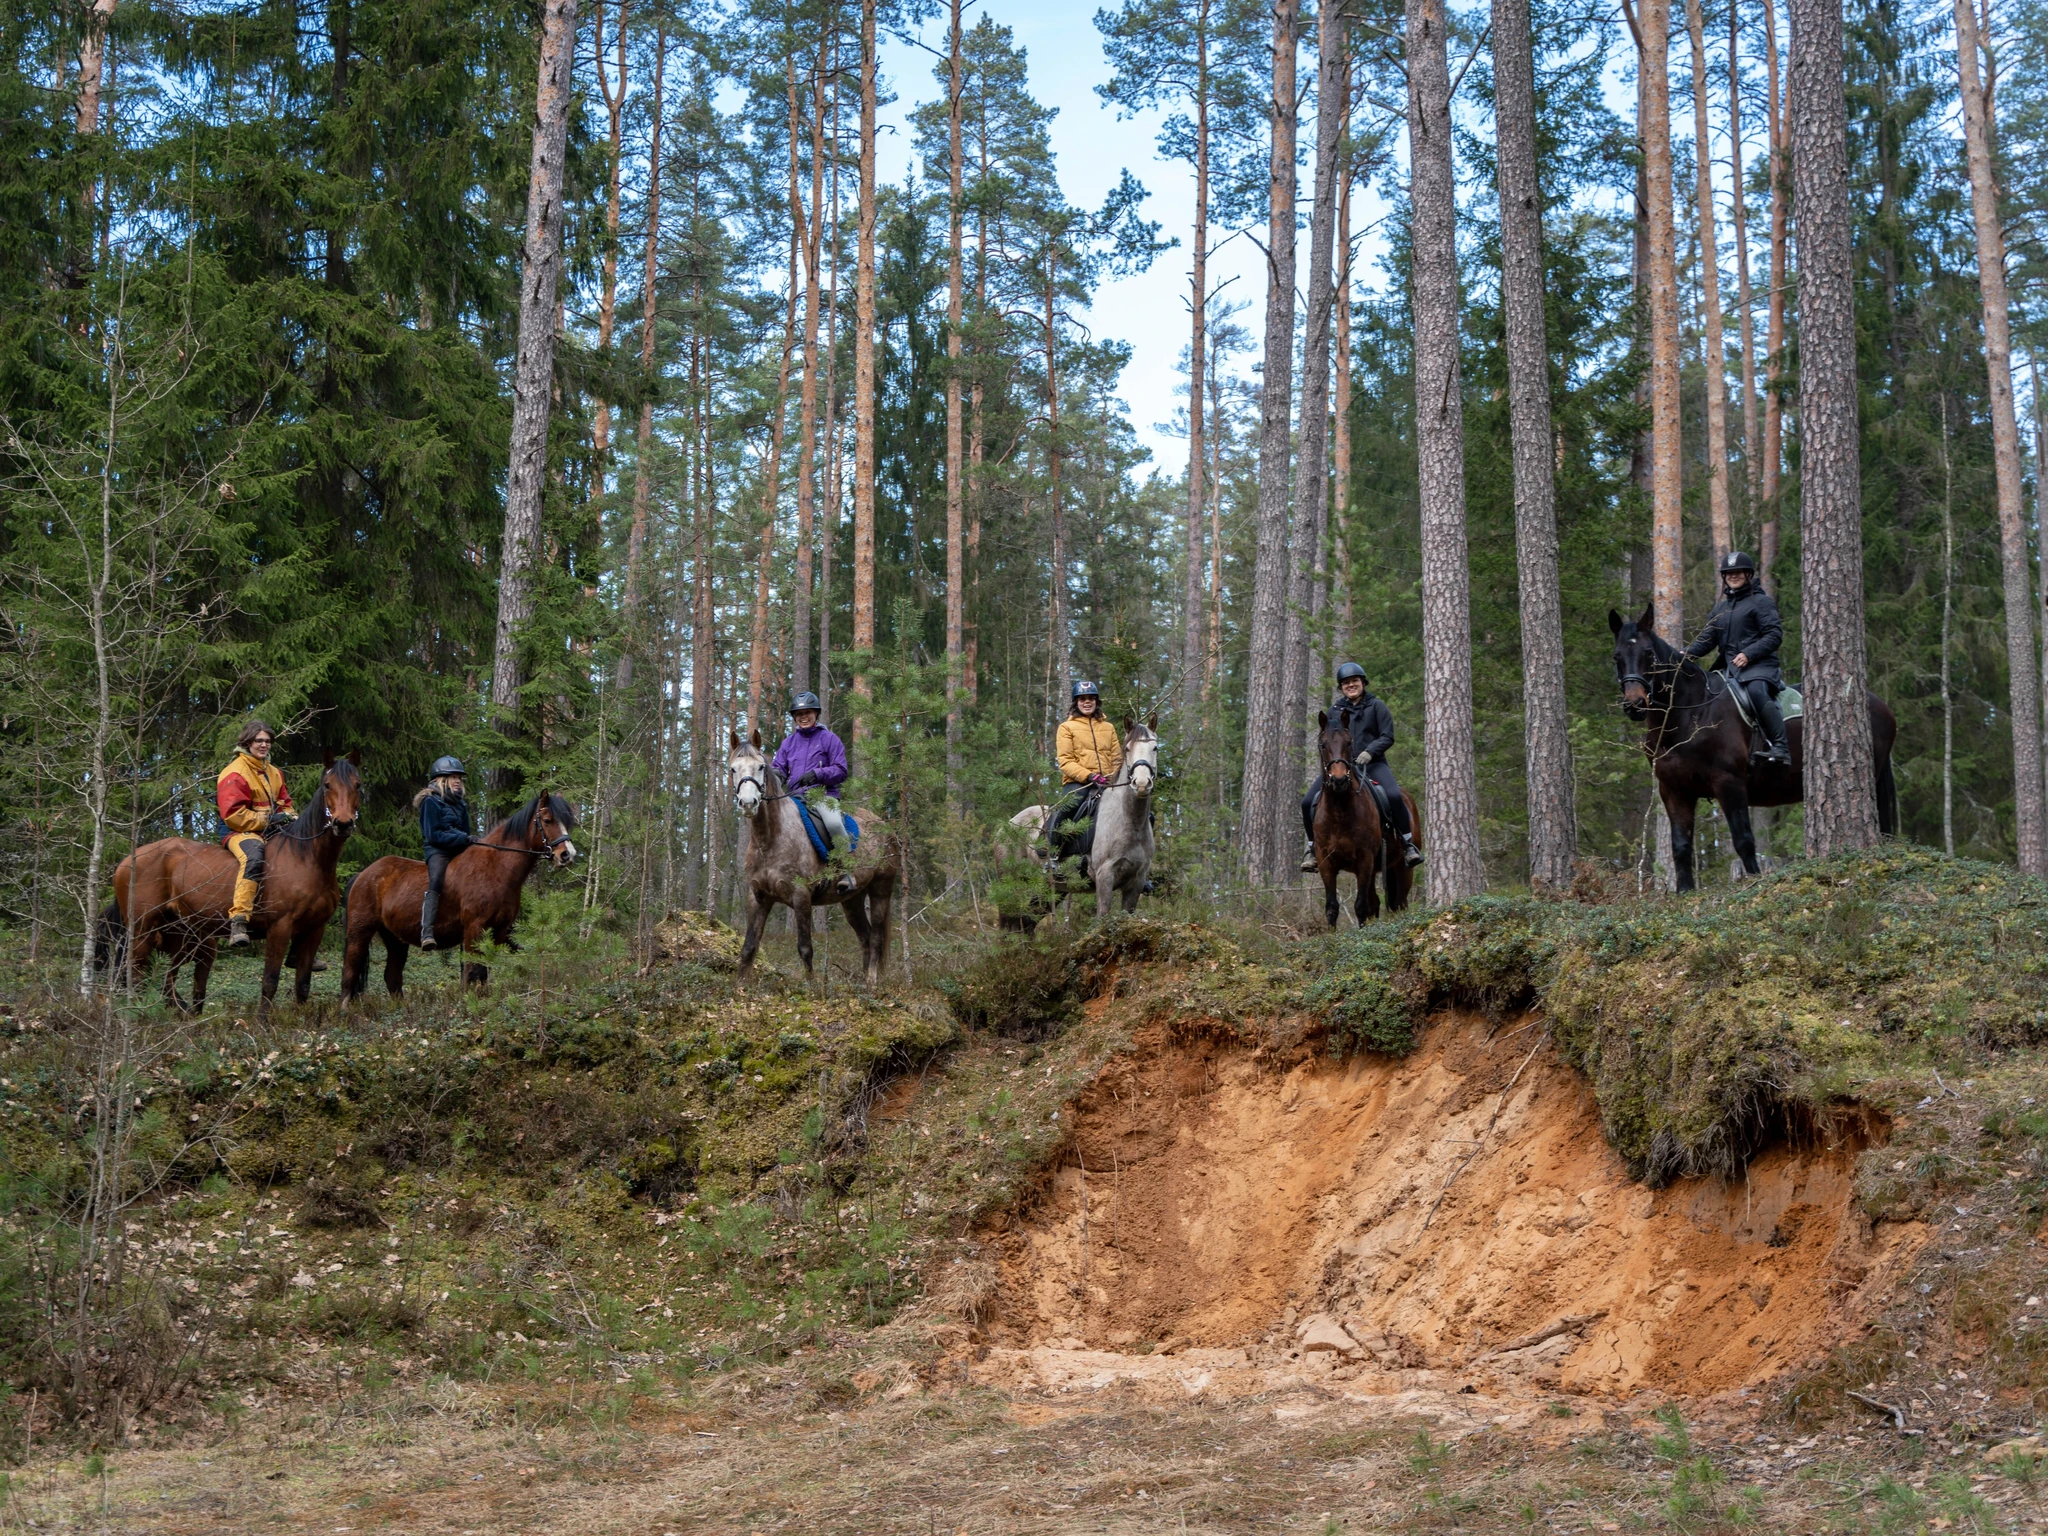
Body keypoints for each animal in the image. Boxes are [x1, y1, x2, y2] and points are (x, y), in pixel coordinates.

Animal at [95, 753, 364, 1015]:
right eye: (327, 785)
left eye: (357, 785)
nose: (342, 823)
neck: (307, 858)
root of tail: (127, 861)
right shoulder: (280, 928)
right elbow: (270, 981)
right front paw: (263, 1024)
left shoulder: (314, 929)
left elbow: (303, 985)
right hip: (142, 932)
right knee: (137, 977)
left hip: (180, 936)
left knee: (166, 981)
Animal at [340, 791, 579, 998]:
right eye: (547, 820)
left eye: (567, 822)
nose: (568, 855)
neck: (495, 869)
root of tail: (362, 875)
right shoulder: (474, 928)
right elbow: (471, 972)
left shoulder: (498, 931)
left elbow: (484, 970)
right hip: (360, 932)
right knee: (350, 973)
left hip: (395, 939)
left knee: (392, 977)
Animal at [726, 731, 901, 982]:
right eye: (733, 769)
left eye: (760, 767)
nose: (748, 803)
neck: (770, 839)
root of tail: (886, 827)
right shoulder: (758, 896)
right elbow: (749, 947)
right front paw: (740, 987)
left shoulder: (801, 896)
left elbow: (805, 948)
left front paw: (811, 988)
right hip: (852, 900)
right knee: (865, 937)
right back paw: (862, 986)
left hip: (881, 889)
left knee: (876, 937)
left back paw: (871, 983)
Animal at [1017, 719, 1160, 920]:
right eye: (1127, 748)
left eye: (1155, 748)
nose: (1141, 784)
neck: (1131, 823)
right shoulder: (1104, 876)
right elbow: (1102, 917)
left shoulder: (1137, 881)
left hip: (1053, 889)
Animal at [1610, 603, 1899, 892]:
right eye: (1616, 656)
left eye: (1648, 653)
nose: (1635, 704)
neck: (1691, 714)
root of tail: (1879, 704)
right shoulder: (1674, 790)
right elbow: (1680, 846)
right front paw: (1684, 893)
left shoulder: (1729, 783)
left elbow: (1744, 840)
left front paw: (1754, 883)